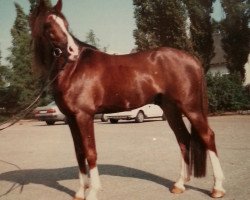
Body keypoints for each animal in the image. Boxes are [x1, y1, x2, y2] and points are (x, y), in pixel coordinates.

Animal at [29, 0, 227, 199]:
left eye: (65, 24)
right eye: (48, 25)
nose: (73, 52)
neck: (73, 68)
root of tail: (192, 59)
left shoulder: (84, 116)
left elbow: (90, 152)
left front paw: (93, 191)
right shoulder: (71, 118)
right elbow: (79, 153)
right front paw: (79, 192)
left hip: (191, 107)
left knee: (208, 136)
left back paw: (217, 188)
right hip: (171, 109)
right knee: (183, 139)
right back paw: (179, 184)